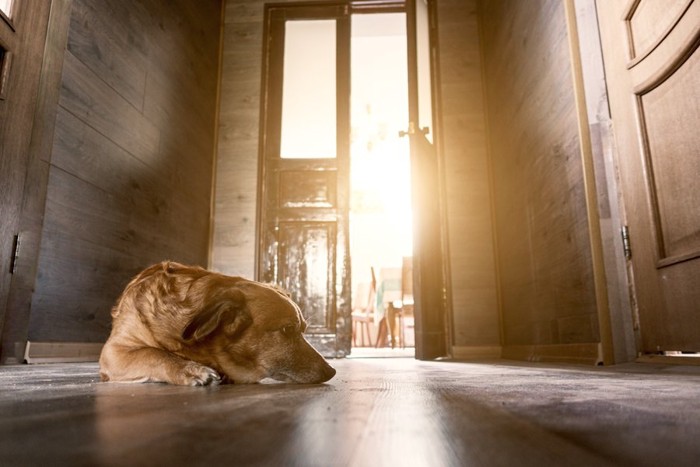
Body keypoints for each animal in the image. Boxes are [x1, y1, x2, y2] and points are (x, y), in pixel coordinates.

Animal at [98, 264, 336, 388]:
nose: (332, 371)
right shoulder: (114, 351)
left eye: (303, 329)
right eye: (287, 329)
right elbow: (153, 353)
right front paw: (190, 369)